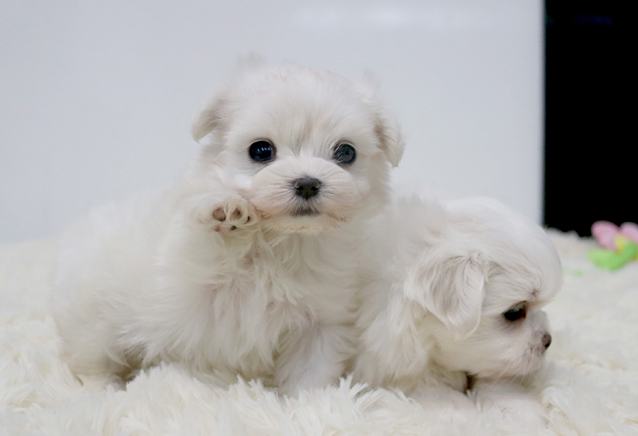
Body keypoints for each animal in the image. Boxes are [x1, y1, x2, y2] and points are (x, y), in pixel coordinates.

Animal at [51, 59, 404, 395]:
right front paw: (227, 211)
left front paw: (309, 405)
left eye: (345, 152)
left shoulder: (321, 321)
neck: (283, 239)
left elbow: (311, 372)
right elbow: (202, 251)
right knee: (90, 362)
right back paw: (102, 391)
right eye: (261, 150)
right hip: (92, 319)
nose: (306, 183)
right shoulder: (187, 267)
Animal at [352, 196, 563, 422]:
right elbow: (426, 383)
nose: (547, 340)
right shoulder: (386, 361)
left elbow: (495, 379)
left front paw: (516, 408)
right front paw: (456, 410)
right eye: (514, 313)